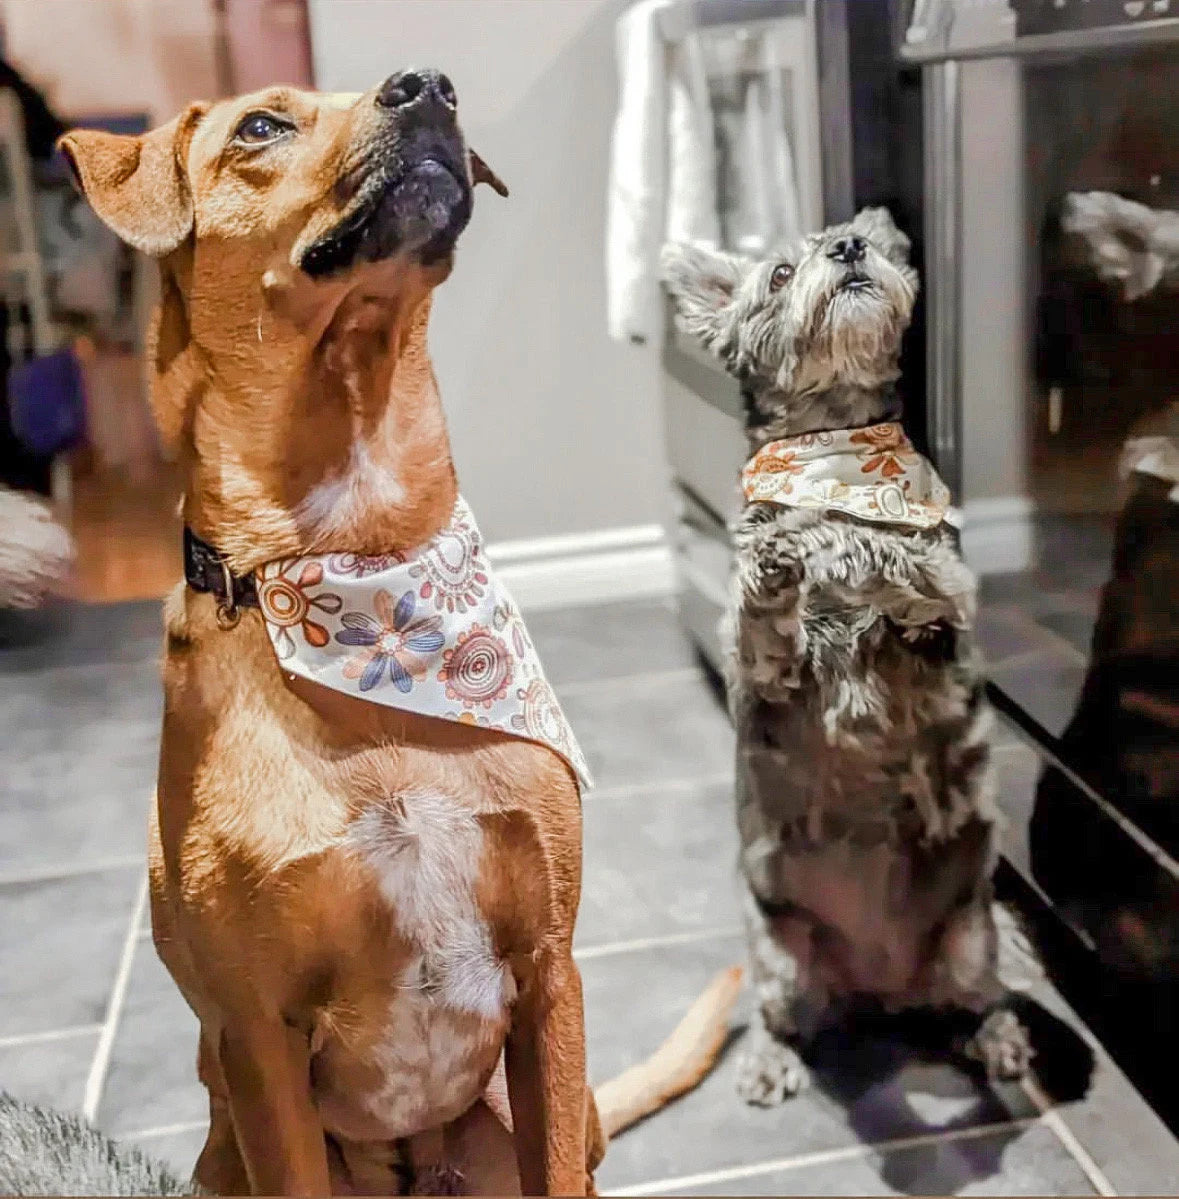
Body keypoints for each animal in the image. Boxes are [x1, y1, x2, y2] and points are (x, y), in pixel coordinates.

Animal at [59, 79, 738, 1194]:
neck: (356, 564)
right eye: (259, 127)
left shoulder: (548, 973)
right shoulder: (257, 1042)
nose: (428, 86)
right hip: (221, 1153)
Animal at [662, 208, 1031, 1103]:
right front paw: (788, 552)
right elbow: (762, 610)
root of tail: (881, 986)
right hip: (781, 958)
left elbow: (908, 564)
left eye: (852, 237)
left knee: (982, 1000)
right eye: (778, 273)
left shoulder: (946, 612)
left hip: (974, 934)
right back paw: (769, 1060)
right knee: (778, 1015)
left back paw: (999, 1039)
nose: (850, 246)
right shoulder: (756, 665)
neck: (837, 445)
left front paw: (856, 548)